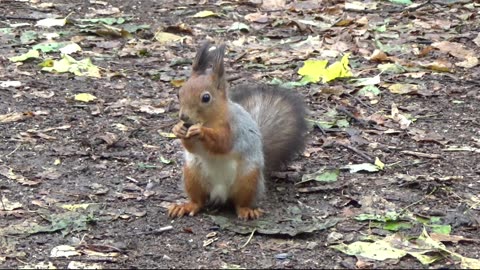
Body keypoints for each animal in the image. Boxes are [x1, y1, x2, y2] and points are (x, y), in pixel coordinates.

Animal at [167, 41, 306, 219]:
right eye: (179, 93)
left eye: (206, 98)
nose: (183, 117)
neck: (211, 119)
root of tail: (220, 194)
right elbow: (191, 147)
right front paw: (177, 129)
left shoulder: (234, 129)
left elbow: (222, 143)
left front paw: (201, 131)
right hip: (192, 175)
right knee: (198, 201)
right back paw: (186, 206)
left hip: (248, 179)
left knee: (240, 202)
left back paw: (247, 211)